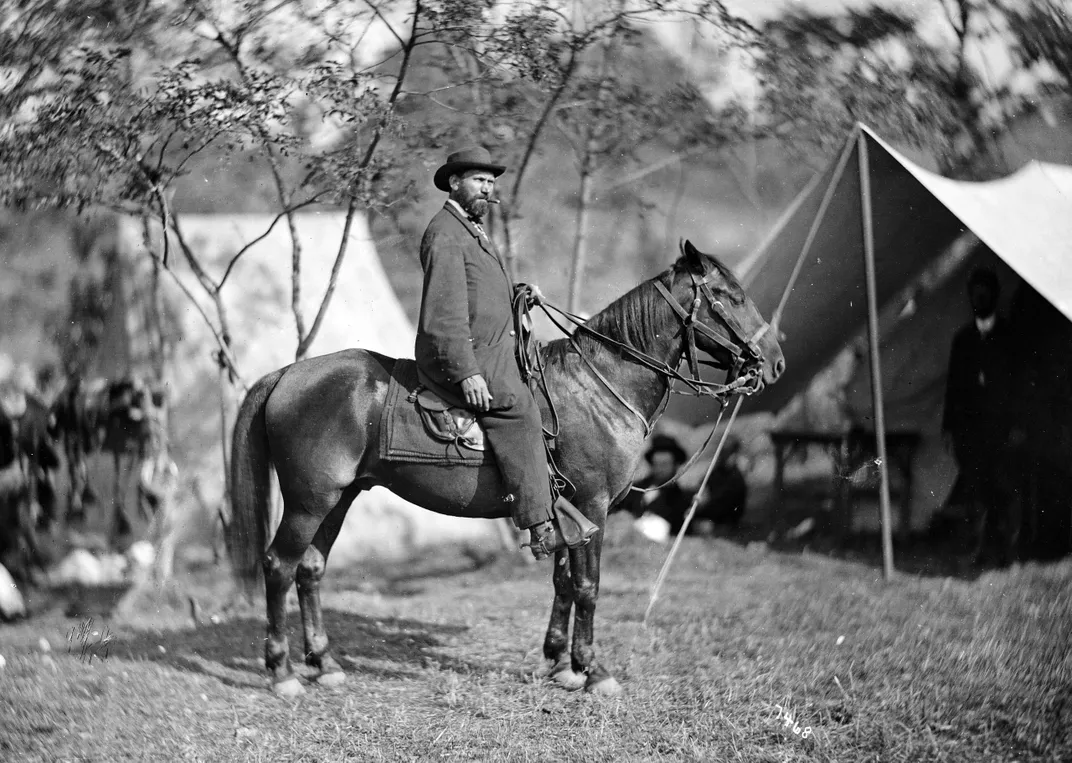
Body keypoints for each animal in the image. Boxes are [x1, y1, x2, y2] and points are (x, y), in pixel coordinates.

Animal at [228, 243, 780, 698]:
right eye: (728, 297)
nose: (773, 362)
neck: (599, 385)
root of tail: (288, 374)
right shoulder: (592, 506)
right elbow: (588, 586)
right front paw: (593, 670)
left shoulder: (568, 514)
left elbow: (563, 582)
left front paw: (559, 664)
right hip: (309, 501)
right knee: (278, 566)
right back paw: (282, 673)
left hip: (339, 499)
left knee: (310, 569)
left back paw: (324, 663)